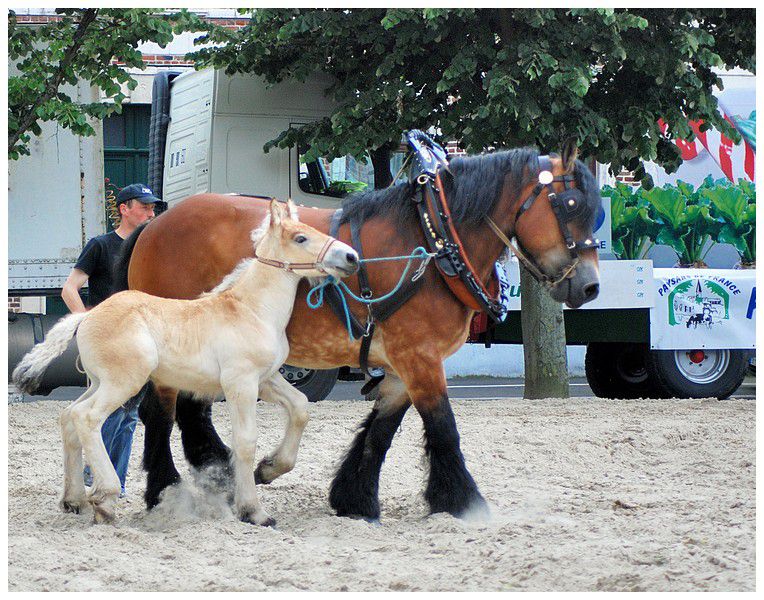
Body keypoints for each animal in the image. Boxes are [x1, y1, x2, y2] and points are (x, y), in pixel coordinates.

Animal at [11, 200, 358, 524]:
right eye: (301, 237)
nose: (351, 257)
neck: (252, 309)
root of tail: (87, 314)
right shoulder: (241, 382)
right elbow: (245, 442)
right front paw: (254, 511)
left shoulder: (266, 379)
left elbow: (299, 405)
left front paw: (270, 468)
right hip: (123, 382)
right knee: (86, 417)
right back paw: (105, 498)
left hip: (100, 382)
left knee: (69, 416)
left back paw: (74, 500)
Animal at [116, 145, 604, 520]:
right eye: (570, 206)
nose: (589, 286)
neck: (434, 242)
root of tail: (155, 223)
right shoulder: (420, 358)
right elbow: (443, 427)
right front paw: (465, 503)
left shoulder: (405, 363)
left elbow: (381, 432)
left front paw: (355, 499)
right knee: (160, 415)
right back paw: (164, 491)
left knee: (191, 411)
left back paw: (217, 473)